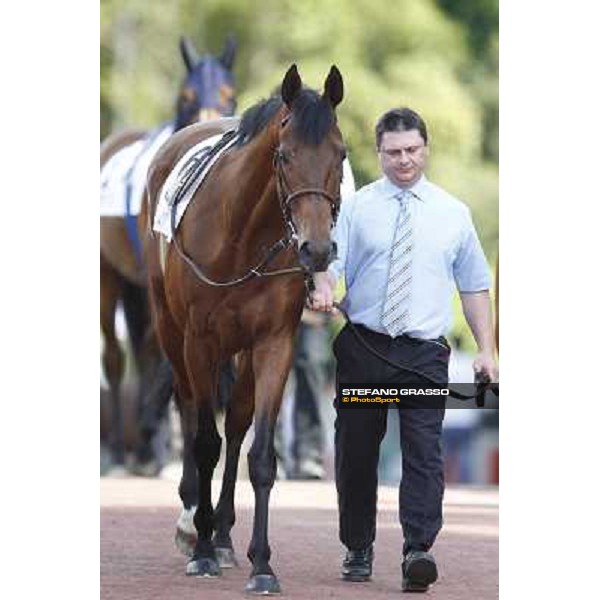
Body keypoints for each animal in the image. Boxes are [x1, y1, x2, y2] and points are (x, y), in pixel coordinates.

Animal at [100, 35, 237, 472]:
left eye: (228, 93)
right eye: (186, 96)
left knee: (143, 350)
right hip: (111, 279)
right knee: (116, 357)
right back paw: (118, 449)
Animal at [143, 63, 344, 592]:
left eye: (340, 154)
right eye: (285, 155)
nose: (317, 250)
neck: (242, 236)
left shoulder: (274, 343)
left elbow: (260, 454)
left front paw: (262, 564)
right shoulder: (198, 341)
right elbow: (204, 442)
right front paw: (201, 551)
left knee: (235, 422)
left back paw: (224, 535)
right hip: (172, 332)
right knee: (189, 409)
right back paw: (193, 523)